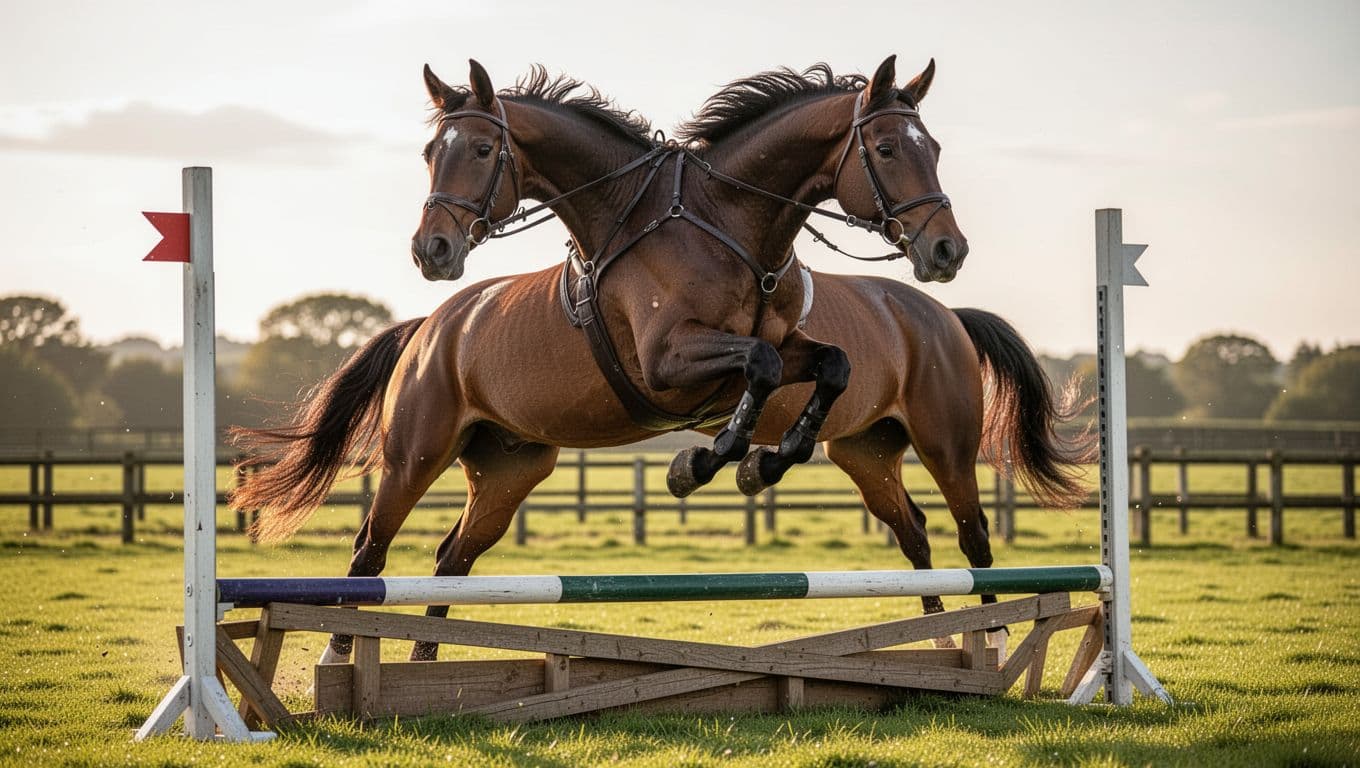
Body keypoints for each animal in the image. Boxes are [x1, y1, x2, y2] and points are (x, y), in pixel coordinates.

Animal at [232, 59, 1090, 663]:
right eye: (883, 147)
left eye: (929, 147)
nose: (947, 251)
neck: (729, 224)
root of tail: (427, 326)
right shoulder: (670, 365)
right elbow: (761, 370)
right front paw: (704, 466)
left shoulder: (778, 354)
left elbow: (822, 364)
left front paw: (751, 465)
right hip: (419, 447)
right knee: (373, 548)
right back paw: (349, 656)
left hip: (521, 465)